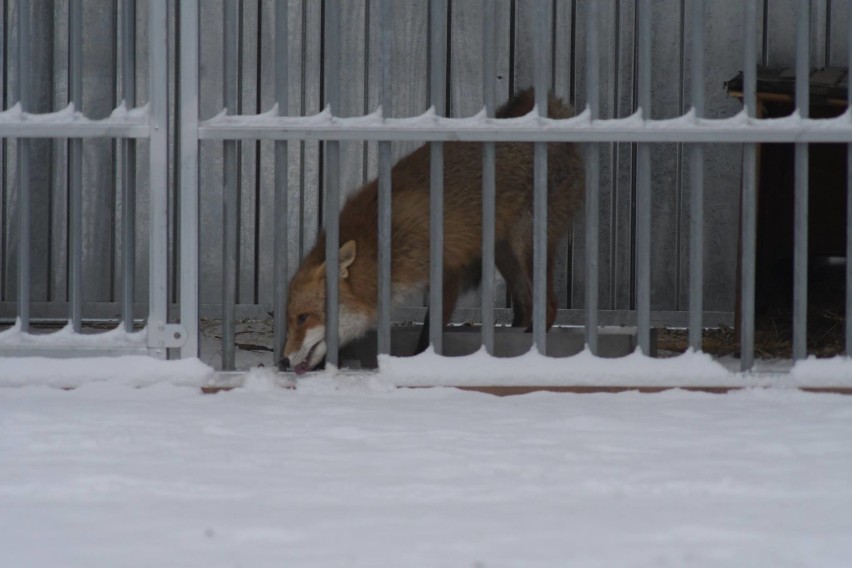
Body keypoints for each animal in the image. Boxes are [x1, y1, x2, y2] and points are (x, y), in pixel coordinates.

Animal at [282, 89, 584, 372]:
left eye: (303, 317)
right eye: (290, 319)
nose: (283, 360)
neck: (383, 241)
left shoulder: (447, 269)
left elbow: (429, 335)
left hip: (527, 246)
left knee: (549, 305)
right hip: (504, 252)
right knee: (526, 304)